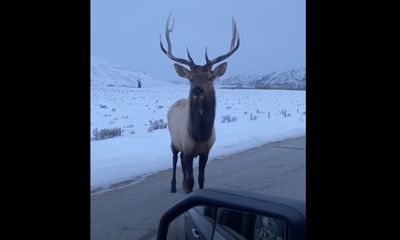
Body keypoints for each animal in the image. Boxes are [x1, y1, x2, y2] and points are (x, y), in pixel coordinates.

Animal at [160, 13, 241, 193]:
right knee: (175, 158)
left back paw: (181, 184)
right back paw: (174, 185)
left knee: (180, 159)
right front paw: (187, 188)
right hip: (173, 139)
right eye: (190, 78)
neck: (200, 135)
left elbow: (201, 178)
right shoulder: (188, 148)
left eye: (210, 77)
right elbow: (192, 180)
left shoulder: (206, 151)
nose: (197, 90)